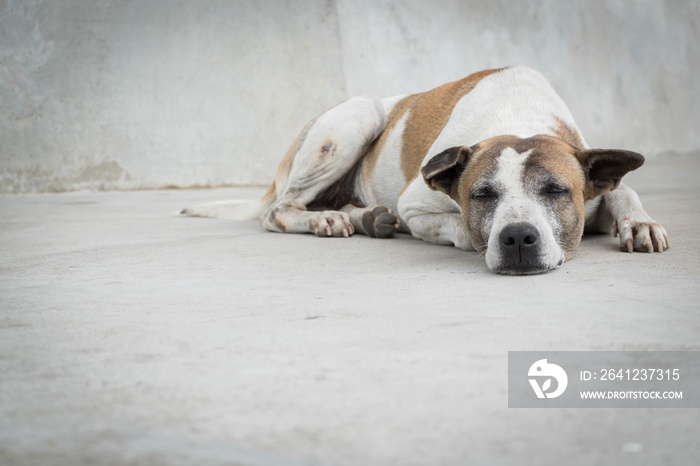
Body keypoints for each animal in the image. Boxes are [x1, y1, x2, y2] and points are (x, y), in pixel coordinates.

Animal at [183, 67, 668, 274]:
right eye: (481, 195)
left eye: (556, 191)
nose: (517, 238)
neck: (517, 118)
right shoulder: (415, 204)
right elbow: (457, 228)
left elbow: (621, 190)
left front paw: (639, 222)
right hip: (357, 116)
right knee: (278, 211)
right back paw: (327, 218)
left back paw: (365, 217)